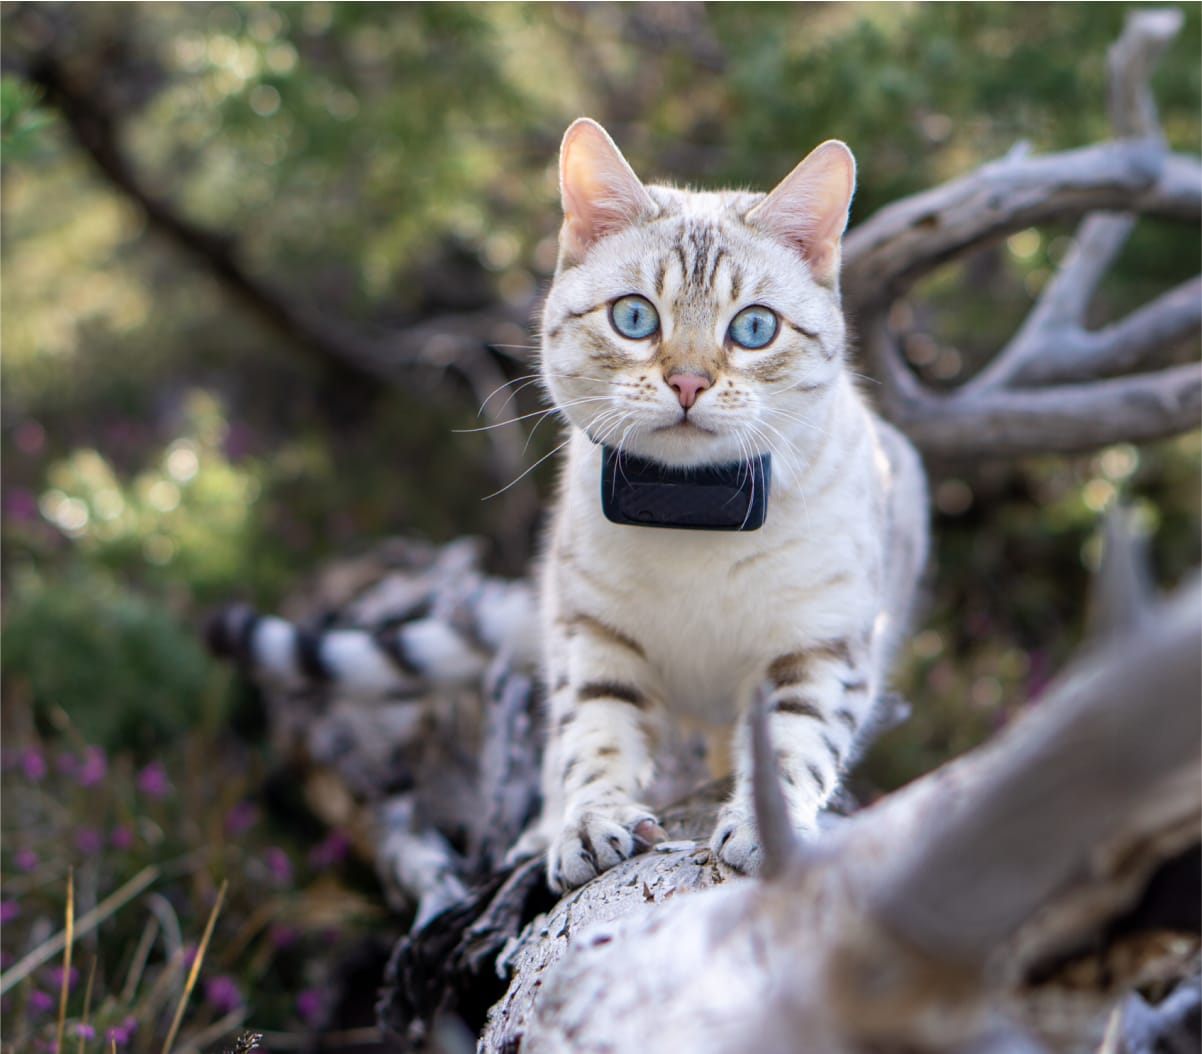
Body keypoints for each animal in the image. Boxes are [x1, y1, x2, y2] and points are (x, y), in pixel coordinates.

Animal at [528, 117, 927, 889]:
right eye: (633, 317)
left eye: (753, 329)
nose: (687, 382)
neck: (692, 513)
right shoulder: (591, 632)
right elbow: (593, 737)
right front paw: (590, 826)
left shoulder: (820, 640)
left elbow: (794, 743)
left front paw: (766, 833)